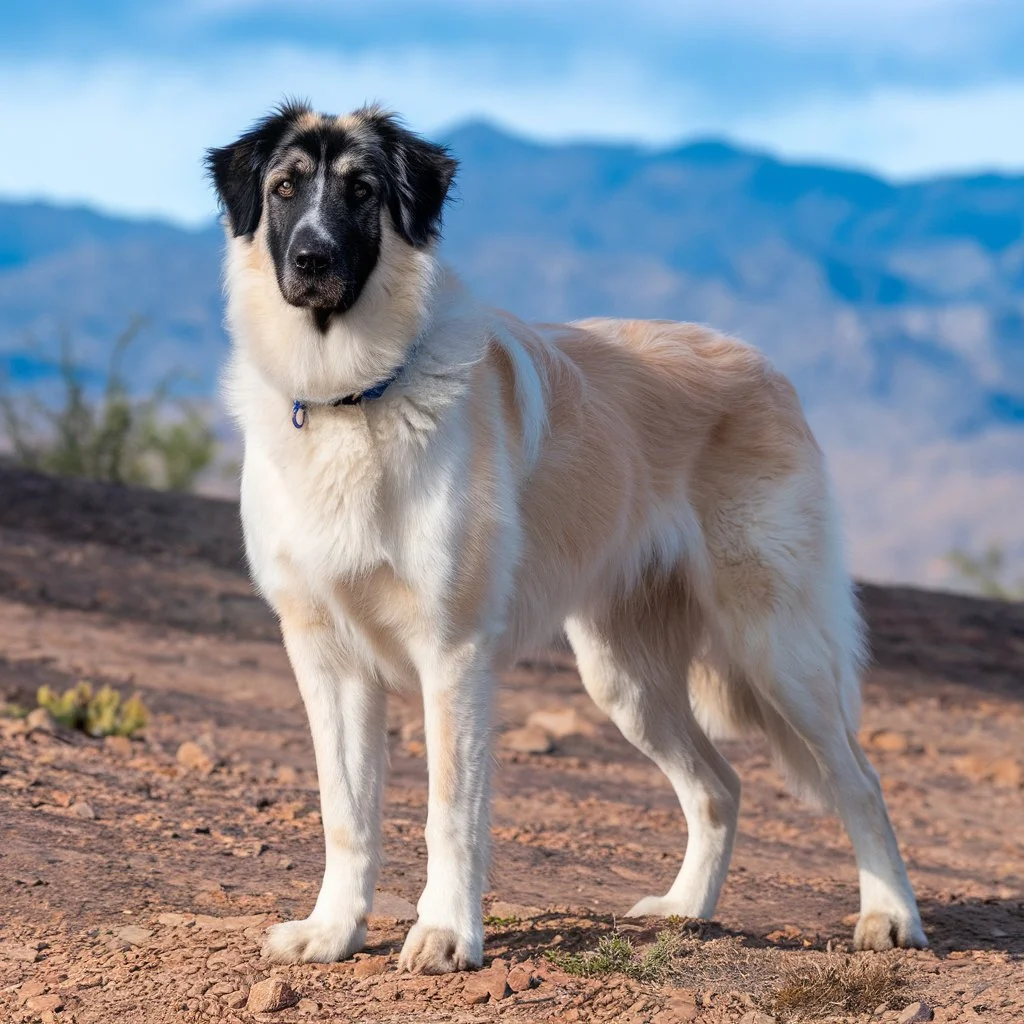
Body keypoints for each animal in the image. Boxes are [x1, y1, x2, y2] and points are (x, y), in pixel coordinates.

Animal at [207, 103, 929, 974]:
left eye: (363, 191)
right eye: (283, 189)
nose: (311, 258)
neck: (356, 395)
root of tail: (763, 366)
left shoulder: (454, 656)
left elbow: (450, 811)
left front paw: (445, 934)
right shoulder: (325, 656)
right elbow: (345, 813)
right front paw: (333, 930)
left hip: (777, 650)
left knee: (860, 780)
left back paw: (890, 917)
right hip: (625, 678)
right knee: (719, 785)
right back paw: (687, 910)